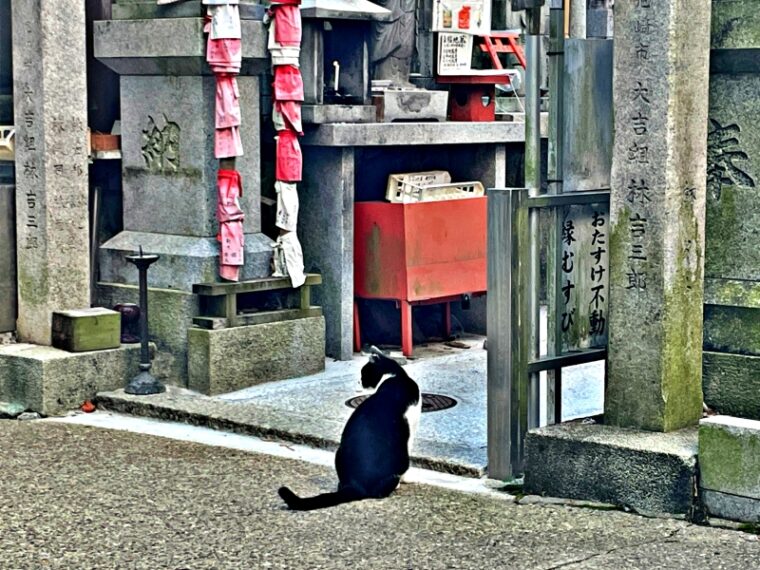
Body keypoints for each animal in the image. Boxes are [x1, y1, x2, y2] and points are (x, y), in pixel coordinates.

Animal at [278, 346, 422, 510]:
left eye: (363, 374)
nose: (358, 381)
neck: (394, 377)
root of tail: (356, 485)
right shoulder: (411, 429)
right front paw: (408, 478)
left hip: (338, 452)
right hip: (400, 459)